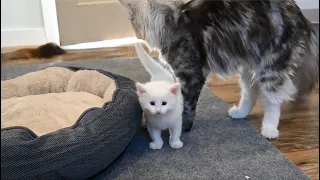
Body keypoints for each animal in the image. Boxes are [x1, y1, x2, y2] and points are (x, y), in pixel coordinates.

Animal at [119, 0, 318, 139]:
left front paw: (181, 127)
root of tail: (301, 15)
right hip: (248, 68)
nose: (136, 34)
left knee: (273, 101)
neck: (174, 21)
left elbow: (186, 105)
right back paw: (239, 113)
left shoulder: (191, 74)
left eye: (133, 22)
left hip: (270, 66)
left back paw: (269, 129)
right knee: (250, 94)